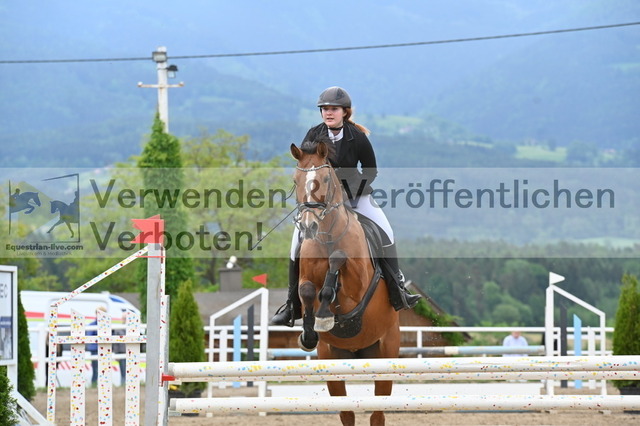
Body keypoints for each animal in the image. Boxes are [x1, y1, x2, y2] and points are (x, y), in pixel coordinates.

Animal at [291, 139, 400, 426]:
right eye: (295, 180)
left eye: (326, 179)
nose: (308, 227)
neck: (328, 236)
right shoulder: (305, 278)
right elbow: (307, 290)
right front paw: (310, 331)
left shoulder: (358, 286)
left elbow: (337, 262)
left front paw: (325, 313)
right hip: (333, 361)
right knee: (347, 412)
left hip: (386, 353)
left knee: (377, 413)